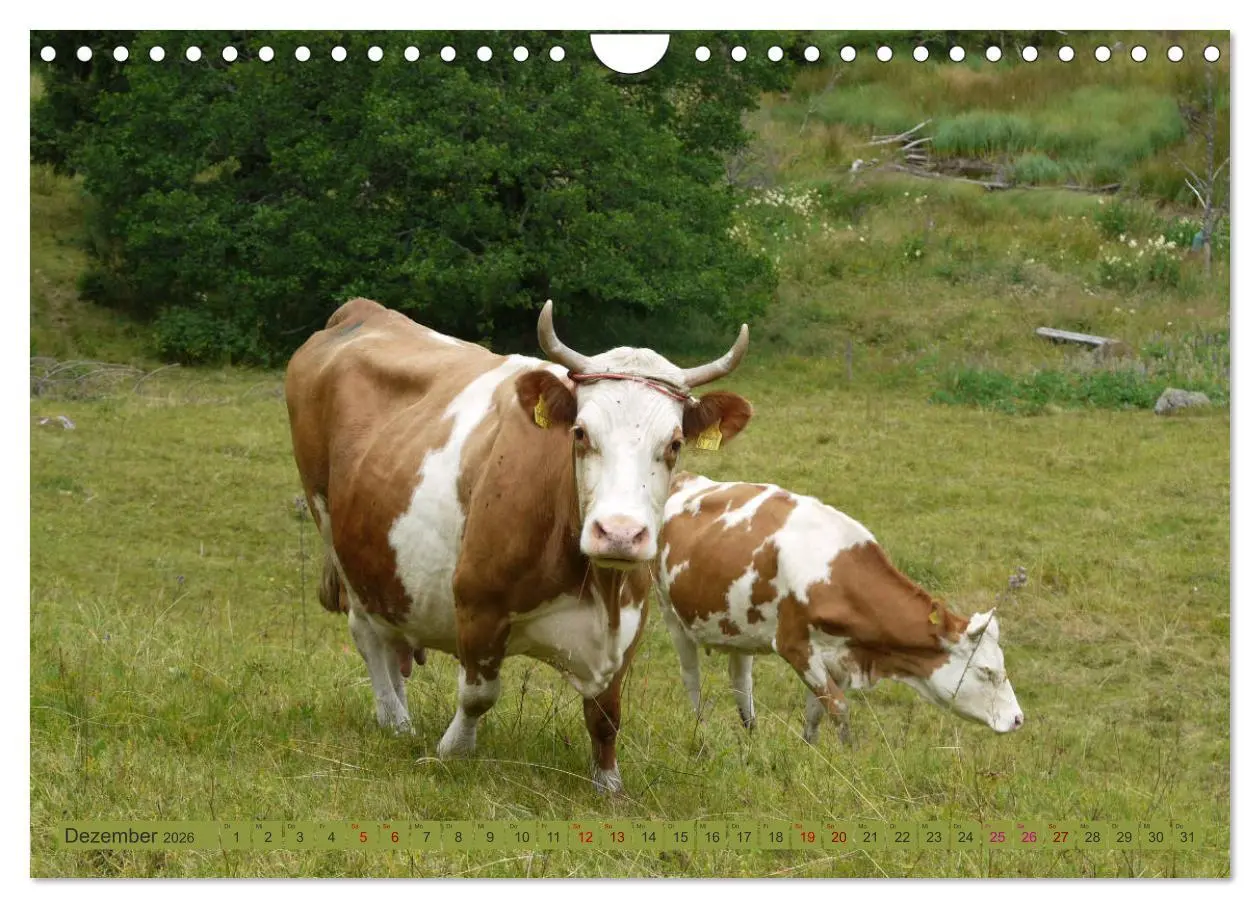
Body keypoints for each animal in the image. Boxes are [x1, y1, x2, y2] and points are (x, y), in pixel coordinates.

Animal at [284, 298, 753, 793]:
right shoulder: (478, 602)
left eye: (676, 443)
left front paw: (608, 784)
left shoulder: (629, 623)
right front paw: (453, 751)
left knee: (391, 634)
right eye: (580, 433)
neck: (596, 585)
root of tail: (361, 311)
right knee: (367, 634)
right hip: (333, 532)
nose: (619, 533)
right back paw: (395, 721)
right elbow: (478, 694)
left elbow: (606, 713)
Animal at [655, 473, 1024, 745]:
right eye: (986, 671)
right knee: (691, 678)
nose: (1018, 719)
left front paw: (810, 755)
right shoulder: (795, 646)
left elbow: (817, 713)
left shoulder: (840, 657)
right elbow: (840, 709)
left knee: (740, 680)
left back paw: (751, 738)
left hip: (737, 627)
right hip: (670, 614)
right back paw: (701, 734)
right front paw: (848, 760)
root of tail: (686, 478)